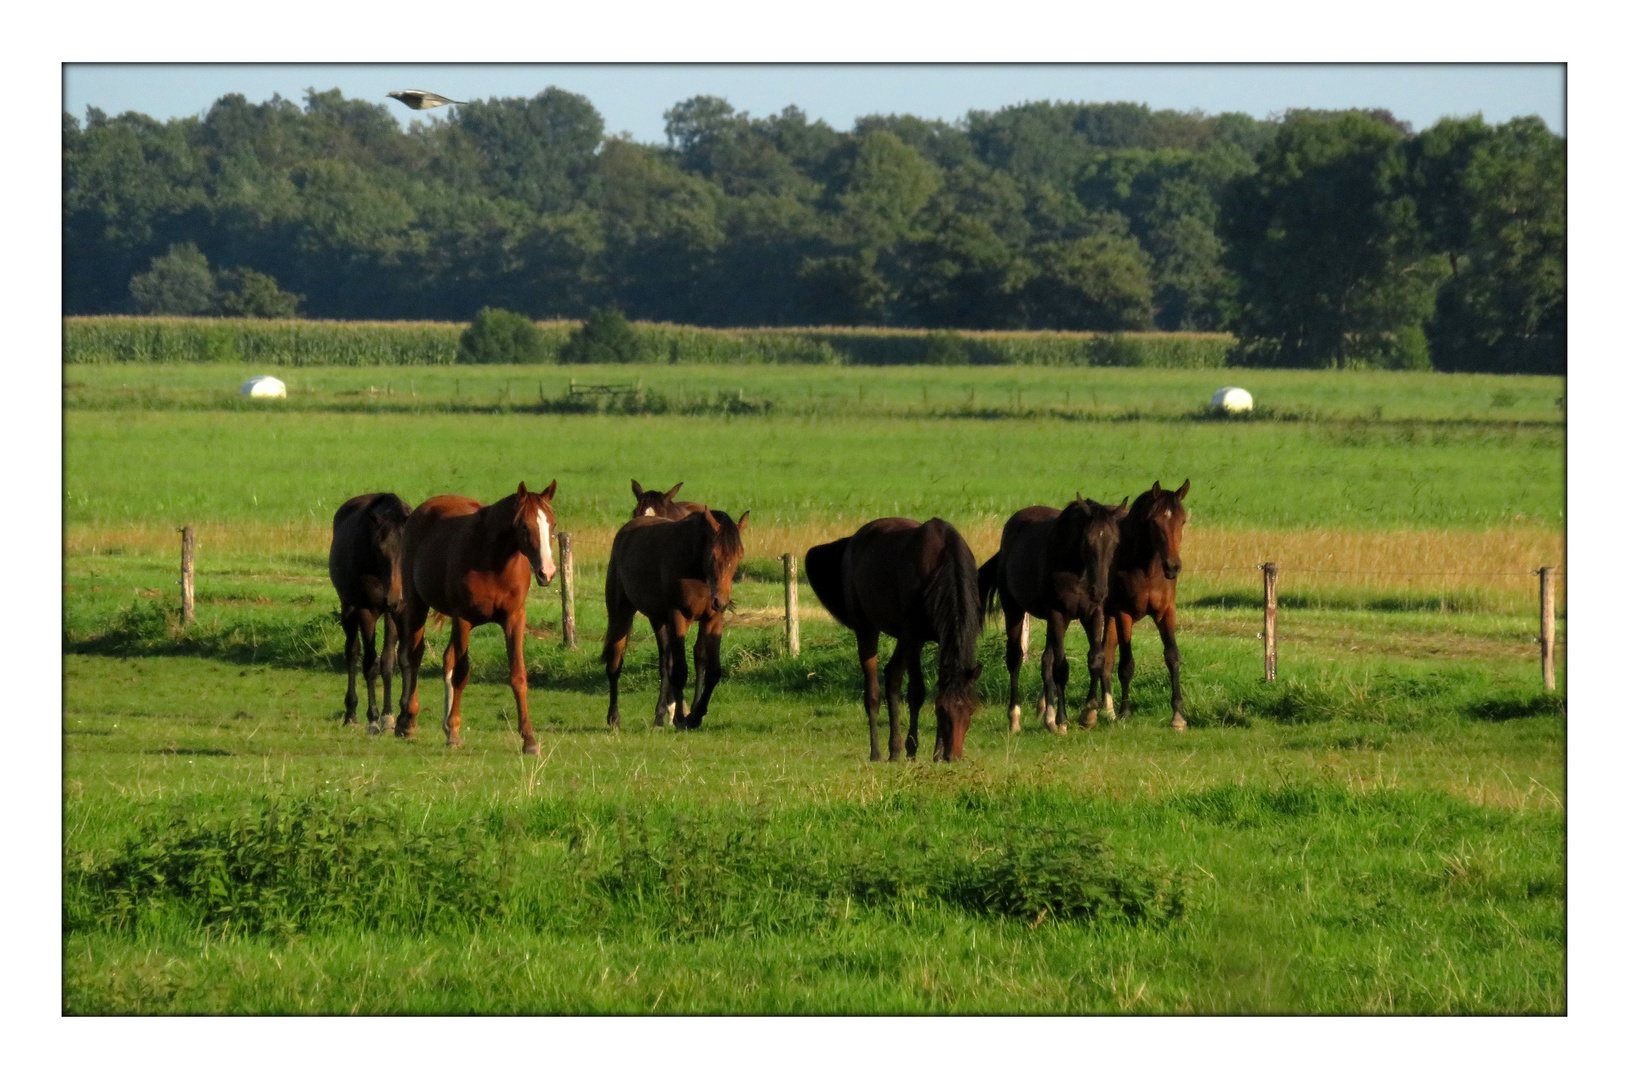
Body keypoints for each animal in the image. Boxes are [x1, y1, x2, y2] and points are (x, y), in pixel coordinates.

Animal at [325, 491, 413, 736]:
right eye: (380, 549)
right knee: (353, 653)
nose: (394, 598)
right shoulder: (367, 611)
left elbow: (397, 660)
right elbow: (371, 663)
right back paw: (351, 714)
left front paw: (396, 716)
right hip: (348, 608)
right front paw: (373, 718)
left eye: (408, 549)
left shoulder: (400, 612)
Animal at [394, 482, 560, 752]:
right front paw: (453, 732)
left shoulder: (514, 619)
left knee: (447, 658)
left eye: (552, 524)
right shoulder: (463, 619)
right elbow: (462, 675)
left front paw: (529, 739)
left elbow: (518, 675)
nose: (547, 572)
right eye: (524, 526)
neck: (494, 563)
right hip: (417, 604)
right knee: (414, 656)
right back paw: (408, 721)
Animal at [602, 508, 746, 729]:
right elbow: (680, 671)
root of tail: (625, 531)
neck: (697, 570)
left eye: (739, 555)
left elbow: (711, 669)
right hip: (621, 613)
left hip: (659, 620)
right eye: (713, 555)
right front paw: (680, 717)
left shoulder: (713, 620)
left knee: (665, 663)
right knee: (615, 662)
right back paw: (614, 717)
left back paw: (660, 716)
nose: (721, 601)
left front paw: (696, 714)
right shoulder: (678, 617)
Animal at [801, 521, 977, 765]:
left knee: (892, 677)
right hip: (867, 629)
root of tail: (854, 540)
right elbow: (916, 692)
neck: (942, 565)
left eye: (971, 710)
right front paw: (913, 749)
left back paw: (894, 750)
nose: (954, 756)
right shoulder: (913, 636)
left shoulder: (940, 638)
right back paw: (876, 752)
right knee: (873, 693)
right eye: (942, 711)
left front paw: (937, 753)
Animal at [1101, 482, 1192, 729]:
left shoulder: (1166, 612)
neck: (1147, 570)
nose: (1173, 566)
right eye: (1154, 522)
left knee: (1105, 658)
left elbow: (1172, 656)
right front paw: (1125, 712)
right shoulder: (1124, 614)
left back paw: (1106, 710)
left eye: (1182, 521)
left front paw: (1178, 716)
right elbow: (1127, 664)